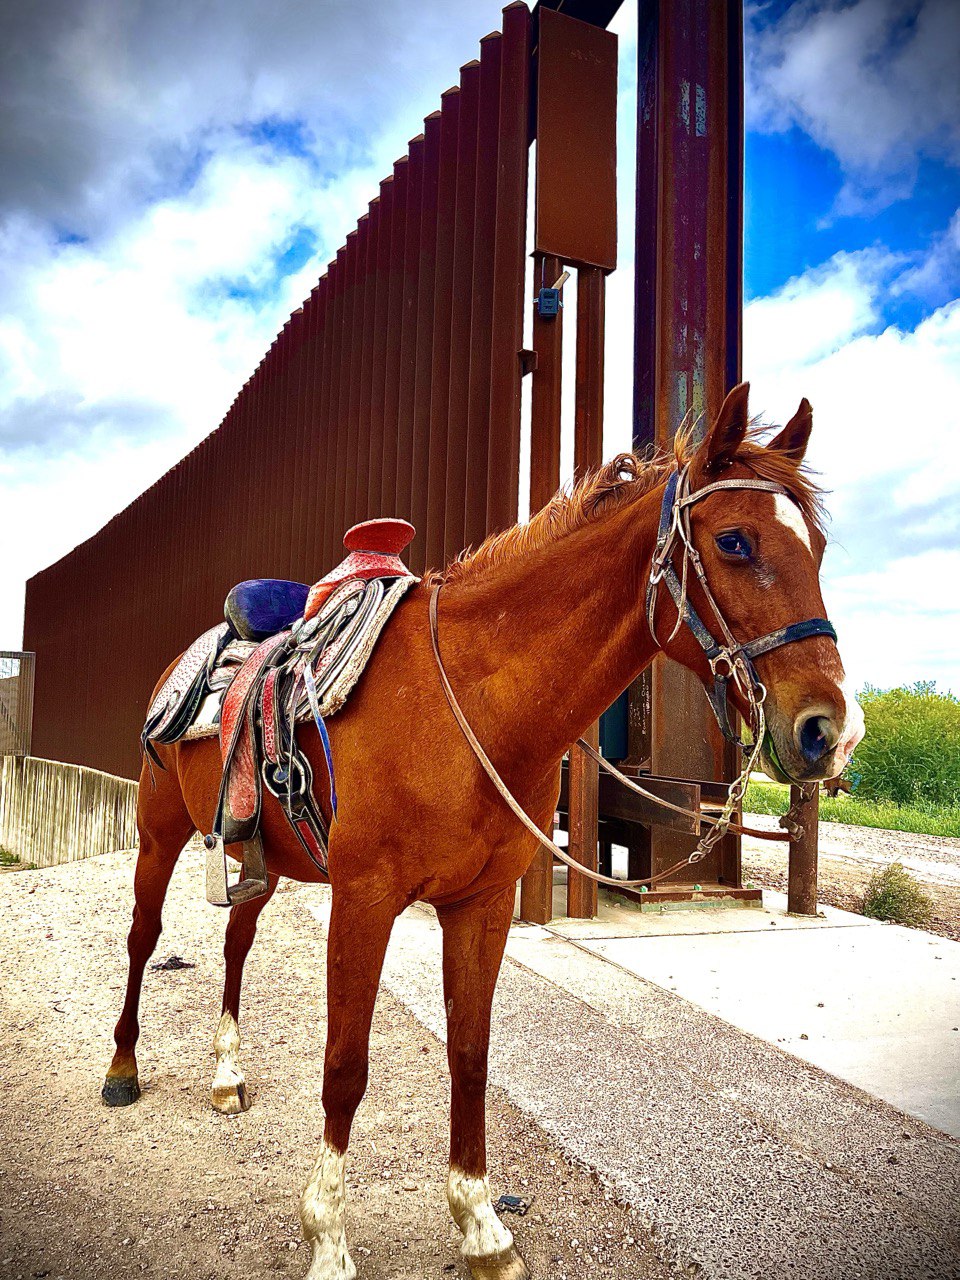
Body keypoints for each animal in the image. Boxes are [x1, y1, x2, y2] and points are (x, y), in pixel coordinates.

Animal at [103, 384, 865, 1280]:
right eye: (735, 541)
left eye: (817, 547)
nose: (831, 731)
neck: (465, 699)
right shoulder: (364, 901)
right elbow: (345, 1066)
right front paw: (327, 1235)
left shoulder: (483, 903)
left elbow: (470, 1053)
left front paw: (478, 1221)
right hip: (159, 832)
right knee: (144, 937)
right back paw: (121, 1068)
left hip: (263, 856)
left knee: (236, 944)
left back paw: (226, 1075)